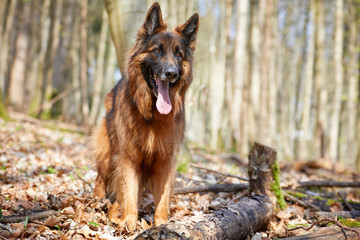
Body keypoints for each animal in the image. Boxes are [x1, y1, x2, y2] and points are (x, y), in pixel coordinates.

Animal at [93, 2, 198, 231]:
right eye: (157, 50)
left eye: (179, 55)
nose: (171, 73)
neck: (152, 116)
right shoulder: (127, 158)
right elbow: (128, 192)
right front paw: (129, 221)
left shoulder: (165, 161)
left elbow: (163, 199)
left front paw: (162, 224)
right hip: (108, 153)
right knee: (101, 177)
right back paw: (96, 200)